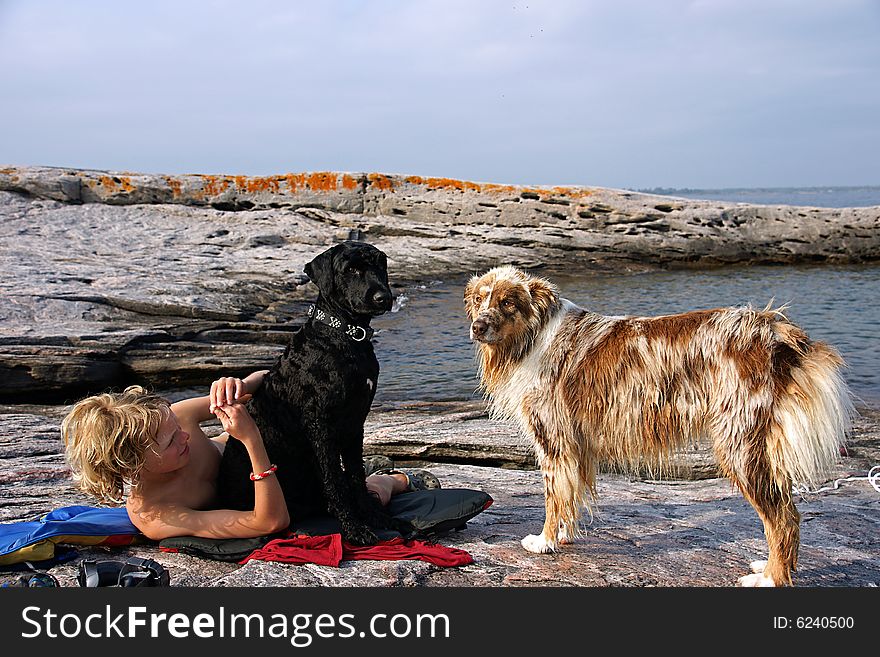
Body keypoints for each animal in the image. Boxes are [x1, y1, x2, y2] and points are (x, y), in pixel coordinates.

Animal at [215, 241, 394, 544]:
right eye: (351, 269)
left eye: (380, 265)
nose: (384, 297)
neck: (345, 337)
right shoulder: (320, 425)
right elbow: (335, 479)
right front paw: (354, 529)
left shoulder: (355, 423)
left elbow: (355, 475)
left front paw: (373, 516)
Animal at [464, 264, 856, 588]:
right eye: (480, 299)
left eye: (507, 302)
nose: (477, 326)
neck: (531, 336)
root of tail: (772, 327)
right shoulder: (575, 446)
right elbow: (569, 499)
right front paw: (562, 537)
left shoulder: (553, 439)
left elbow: (551, 499)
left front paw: (544, 541)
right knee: (786, 513)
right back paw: (772, 567)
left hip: (738, 445)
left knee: (783, 518)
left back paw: (771, 578)